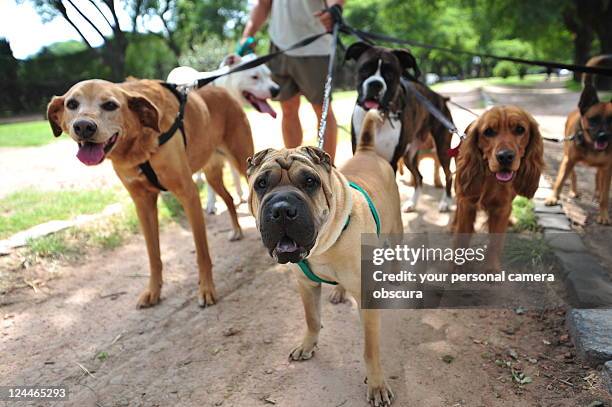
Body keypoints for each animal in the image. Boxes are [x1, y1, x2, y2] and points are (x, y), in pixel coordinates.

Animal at [46, 79, 253, 310]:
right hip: (212, 175)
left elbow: (202, 253)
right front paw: (153, 291)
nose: (83, 126)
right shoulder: (142, 203)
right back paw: (236, 230)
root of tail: (221, 90)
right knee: (229, 198)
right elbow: (153, 256)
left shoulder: (188, 194)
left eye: (110, 105)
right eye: (72, 104)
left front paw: (206, 289)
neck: (137, 146)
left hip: (243, 162)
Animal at [246, 110, 404, 406]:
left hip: (396, 226)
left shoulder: (366, 298)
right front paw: (308, 344)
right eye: (261, 184)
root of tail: (368, 151)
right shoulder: (306, 286)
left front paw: (376, 383)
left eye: (310, 181)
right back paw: (339, 291)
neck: (324, 245)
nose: (281, 209)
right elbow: (311, 319)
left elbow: (370, 349)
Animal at [344, 41, 454, 214]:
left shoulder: (391, 163)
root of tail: (440, 97)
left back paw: (446, 202)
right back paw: (413, 203)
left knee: (449, 175)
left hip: (442, 149)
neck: (380, 116)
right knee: (419, 177)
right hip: (410, 155)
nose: (375, 84)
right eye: (365, 69)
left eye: (390, 74)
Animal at [452, 107, 544, 270]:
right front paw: (457, 267)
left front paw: (491, 268)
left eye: (520, 129)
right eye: (488, 132)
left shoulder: (502, 208)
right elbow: (462, 236)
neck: (491, 177)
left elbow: (495, 242)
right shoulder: (467, 203)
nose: (505, 156)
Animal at [544, 82, 612, 223]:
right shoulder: (568, 160)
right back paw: (574, 191)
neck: (591, 145)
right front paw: (553, 198)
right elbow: (559, 182)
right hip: (568, 158)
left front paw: (603, 215)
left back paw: (597, 194)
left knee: (598, 178)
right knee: (573, 175)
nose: (603, 136)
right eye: (593, 120)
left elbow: (605, 195)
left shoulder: (607, 168)